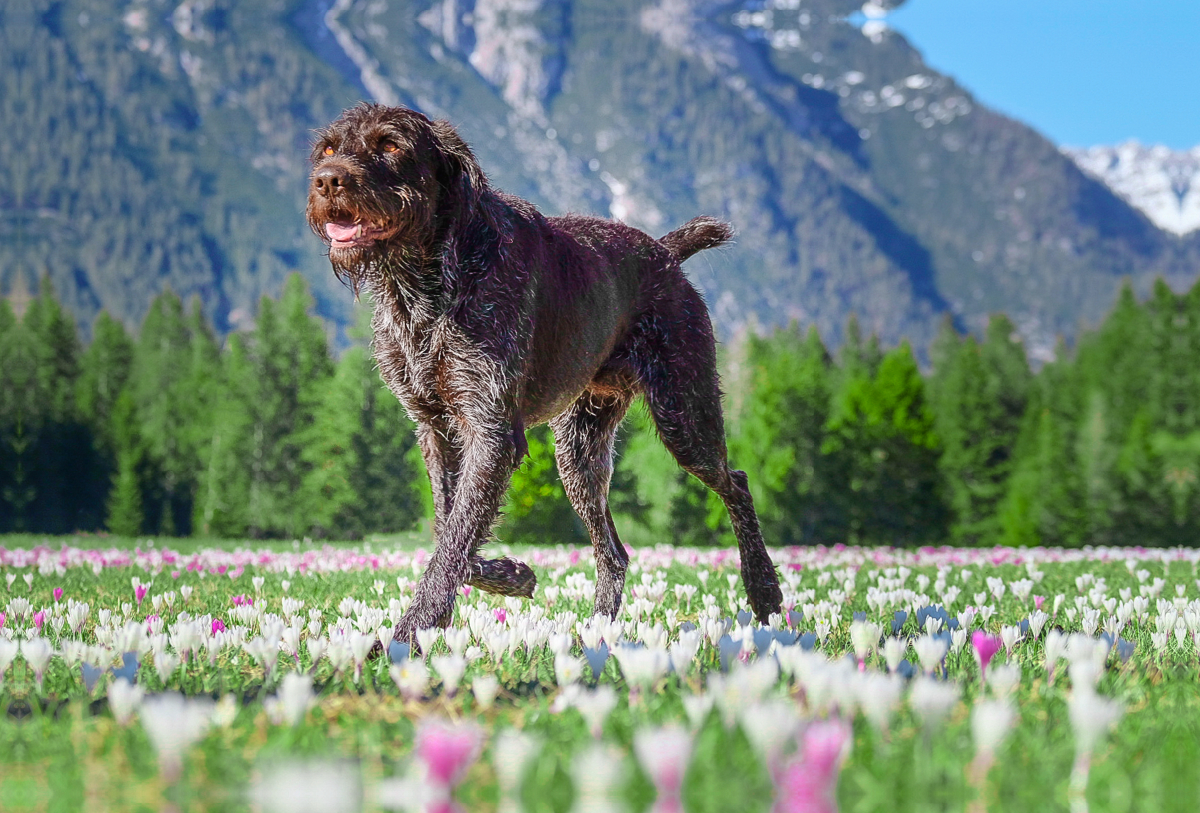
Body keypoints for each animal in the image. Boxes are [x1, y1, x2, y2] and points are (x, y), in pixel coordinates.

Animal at [304, 104, 782, 647]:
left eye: (390, 145)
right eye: (327, 148)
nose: (327, 180)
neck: (420, 283)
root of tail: (664, 254)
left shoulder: (490, 430)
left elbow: (453, 544)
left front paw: (409, 634)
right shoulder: (436, 428)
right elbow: (450, 530)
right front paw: (511, 575)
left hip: (685, 419)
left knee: (736, 483)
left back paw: (764, 591)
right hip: (580, 454)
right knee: (614, 554)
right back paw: (597, 632)